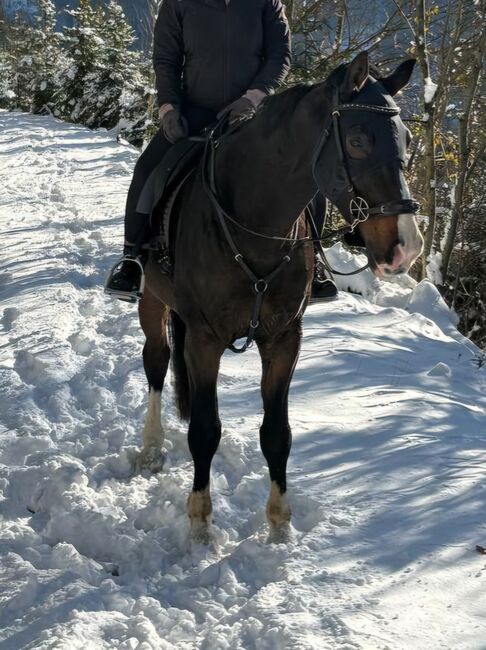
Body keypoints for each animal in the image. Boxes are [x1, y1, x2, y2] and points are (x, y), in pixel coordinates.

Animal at [135, 50, 424, 540]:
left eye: (405, 138)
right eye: (358, 140)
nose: (406, 246)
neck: (254, 226)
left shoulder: (285, 339)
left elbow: (277, 433)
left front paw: (278, 527)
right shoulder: (204, 340)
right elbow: (205, 431)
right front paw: (200, 523)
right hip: (151, 300)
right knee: (156, 360)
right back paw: (152, 446)